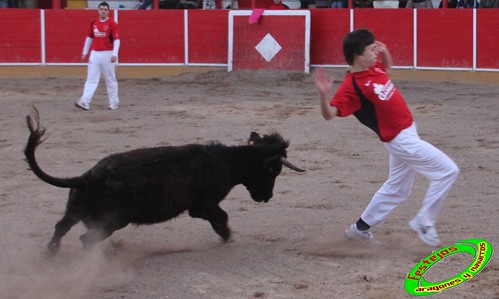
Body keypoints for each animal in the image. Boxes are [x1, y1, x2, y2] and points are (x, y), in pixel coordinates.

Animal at [23, 108, 306, 253]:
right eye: (273, 171)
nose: (266, 197)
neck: (224, 160)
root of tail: (87, 178)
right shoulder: (202, 206)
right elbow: (221, 217)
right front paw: (226, 236)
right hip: (113, 220)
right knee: (86, 240)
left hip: (75, 211)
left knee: (61, 227)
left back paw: (51, 254)